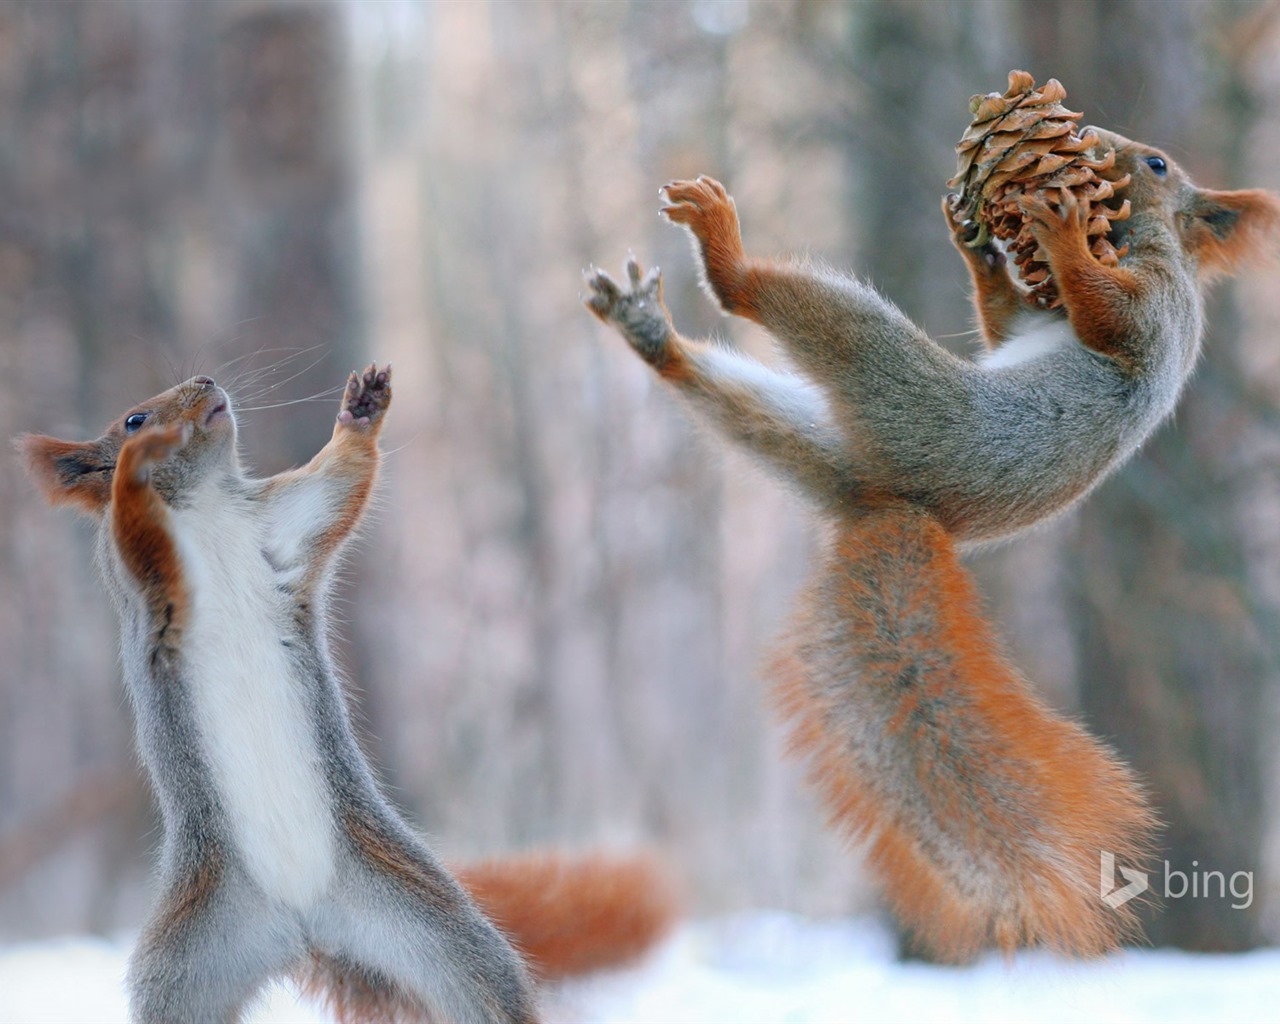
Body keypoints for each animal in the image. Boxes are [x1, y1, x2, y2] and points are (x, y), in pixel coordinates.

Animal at [586, 126, 1274, 962]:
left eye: (1157, 166)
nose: (1098, 141)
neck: (1142, 240)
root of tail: (899, 506)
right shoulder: (1031, 323)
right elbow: (1005, 323)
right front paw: (978, 247)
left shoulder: (1156, 307)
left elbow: (1109, 317)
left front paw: (1060, 233)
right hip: (816, 437)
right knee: (740, 403)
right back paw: (652, 335)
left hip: (896, 385)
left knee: (768, 302)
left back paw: (725, 254)